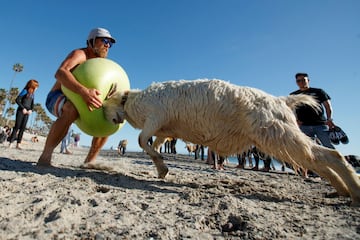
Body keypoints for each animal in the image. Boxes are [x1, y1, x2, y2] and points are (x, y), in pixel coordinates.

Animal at [103, 79, 360, 206]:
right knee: (316, 159)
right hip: (280, 136)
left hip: (278, 134)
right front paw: (161, 168)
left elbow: (141, 140)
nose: (110, 121)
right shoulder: (163, 130)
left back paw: (354, 192)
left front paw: (161, 167)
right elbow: (153, 145)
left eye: (104, 106)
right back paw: (341, 190)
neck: (132, 100)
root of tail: (281, 100)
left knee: (330, 156)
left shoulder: (155, 117)